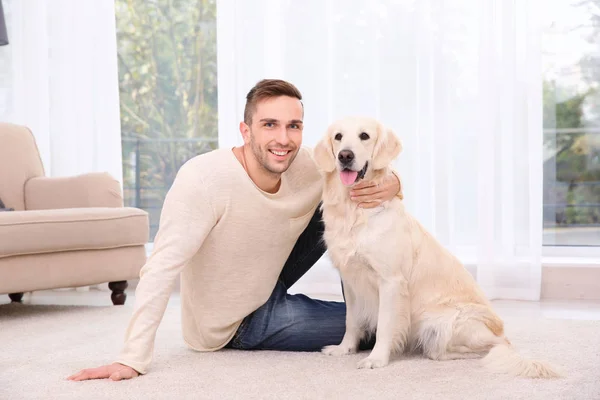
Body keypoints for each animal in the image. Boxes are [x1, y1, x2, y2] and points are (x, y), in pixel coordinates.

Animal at [312, 115, 560, 378]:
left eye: (364, 136)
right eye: (338, 137)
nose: (345, 156)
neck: (354, 211)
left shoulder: (391, 282)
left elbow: (385, 325)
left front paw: (376, 358)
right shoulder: (351, 281)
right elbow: (351, 321)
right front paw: (344, 349)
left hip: (441, 321)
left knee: (487, 347)